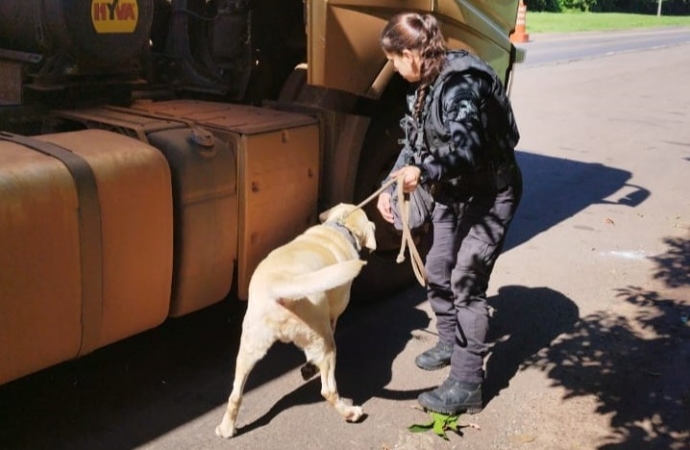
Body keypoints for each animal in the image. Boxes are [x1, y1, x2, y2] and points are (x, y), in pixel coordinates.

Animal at [215, 202, 376, 438]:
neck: (340, 225)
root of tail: (280, 285)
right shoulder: (333, 315)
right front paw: (310, 368)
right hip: (325, 342)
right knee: (328, 390)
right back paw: (350, 413)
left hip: (249, 348)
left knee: (235, 394)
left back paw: (226, 429)